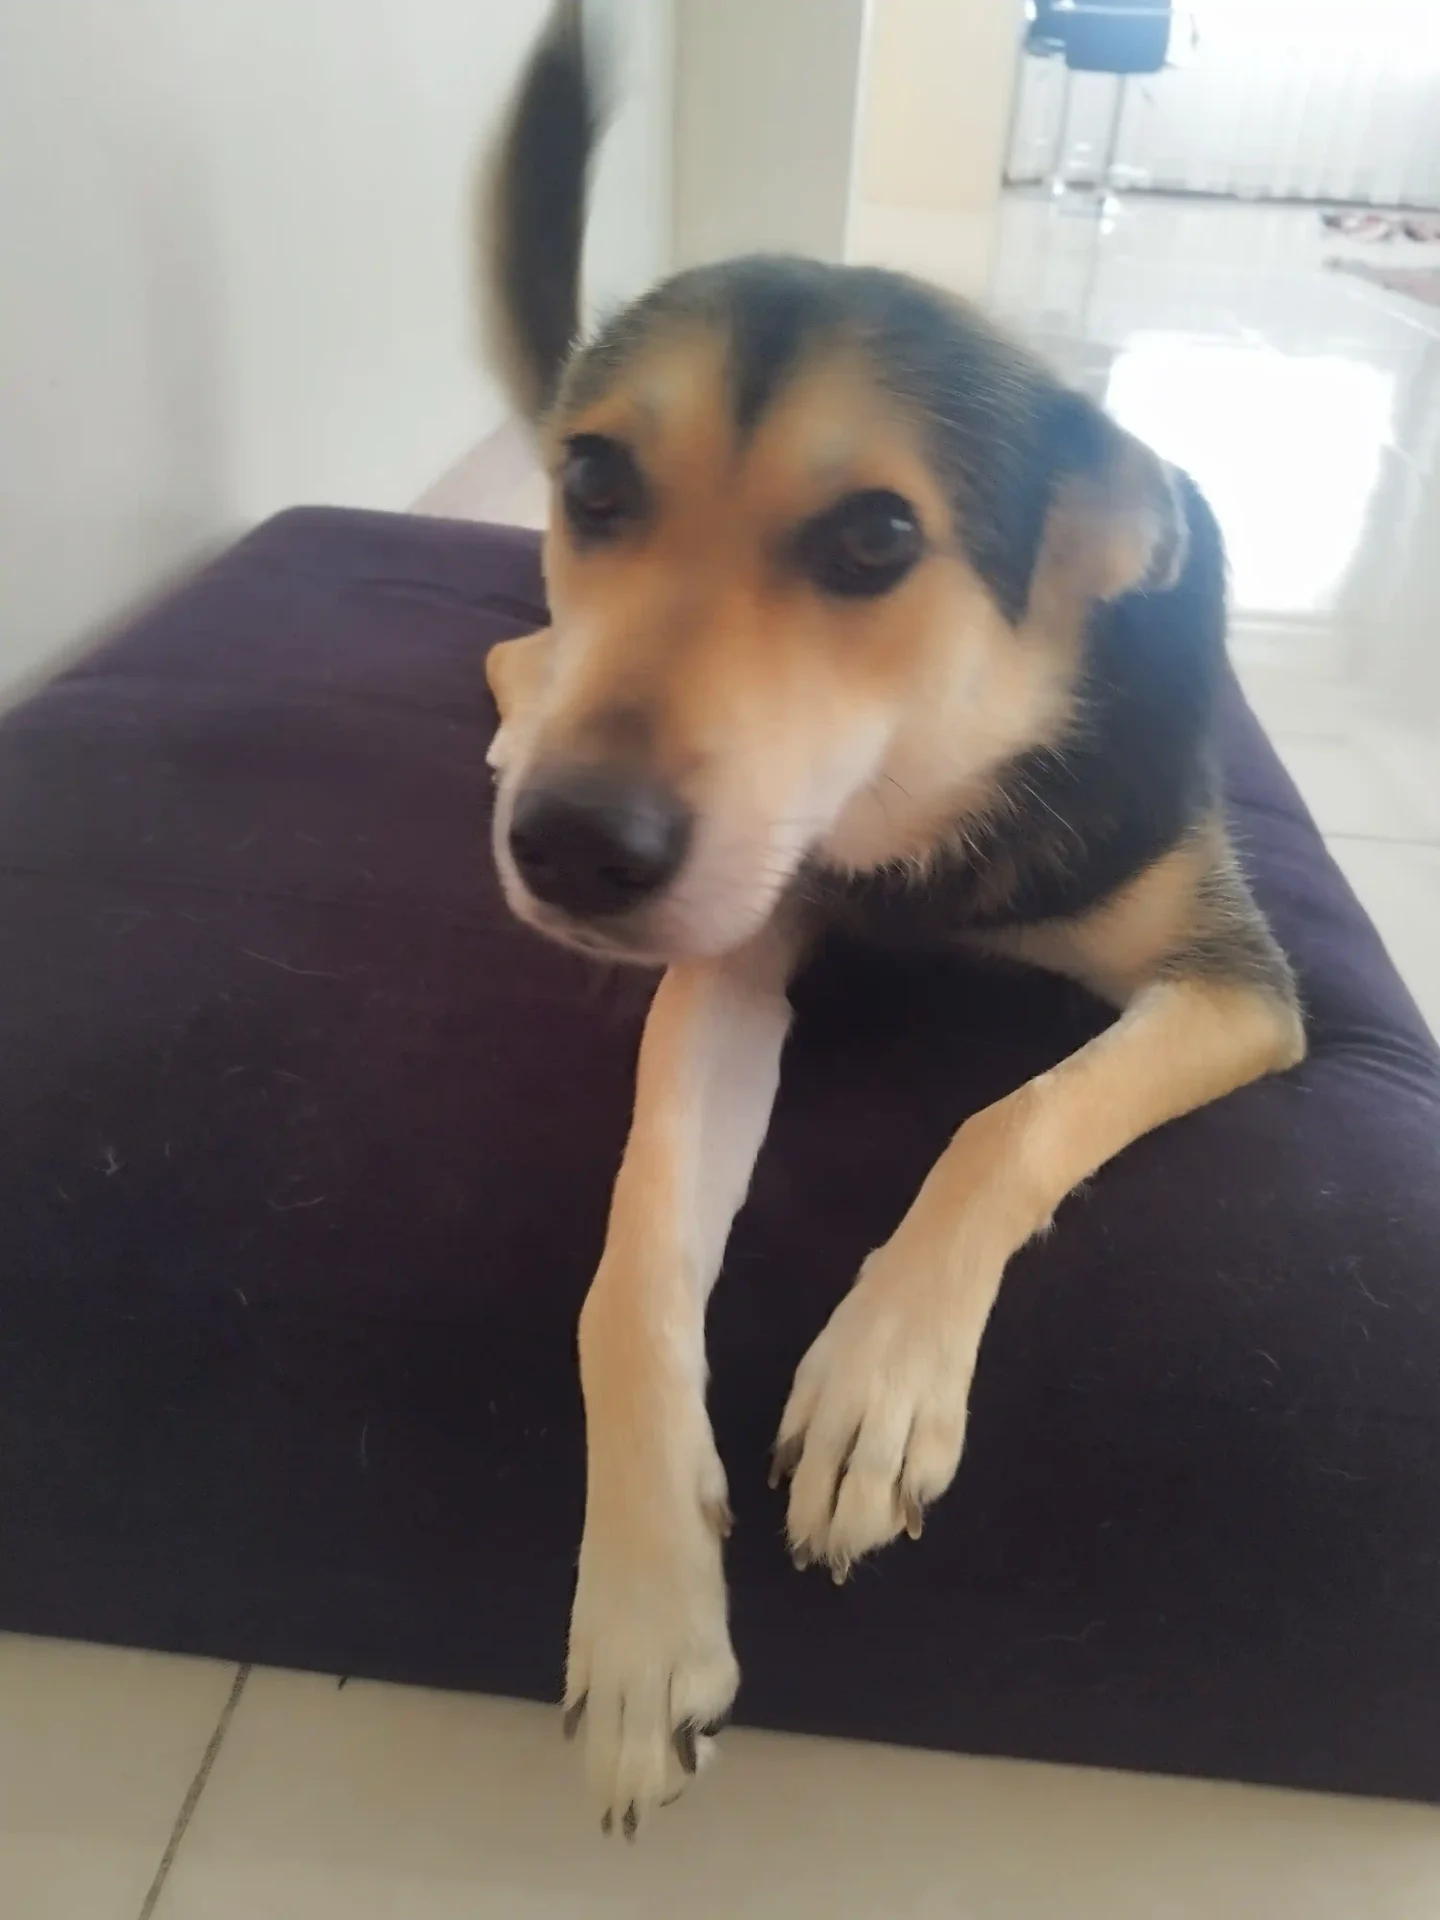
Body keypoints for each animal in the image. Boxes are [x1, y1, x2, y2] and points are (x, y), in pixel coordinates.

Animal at [481, 3, 1305, 1837]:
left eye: (875, 535)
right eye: (597, 480)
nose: (569, 850)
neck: (920, 814)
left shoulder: (1240, 987)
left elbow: (1012, 1121)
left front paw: (879, 1383)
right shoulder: (722, 963)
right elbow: (631, 1263)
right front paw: (640, 1613)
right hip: (553, 674)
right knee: (518, 659)